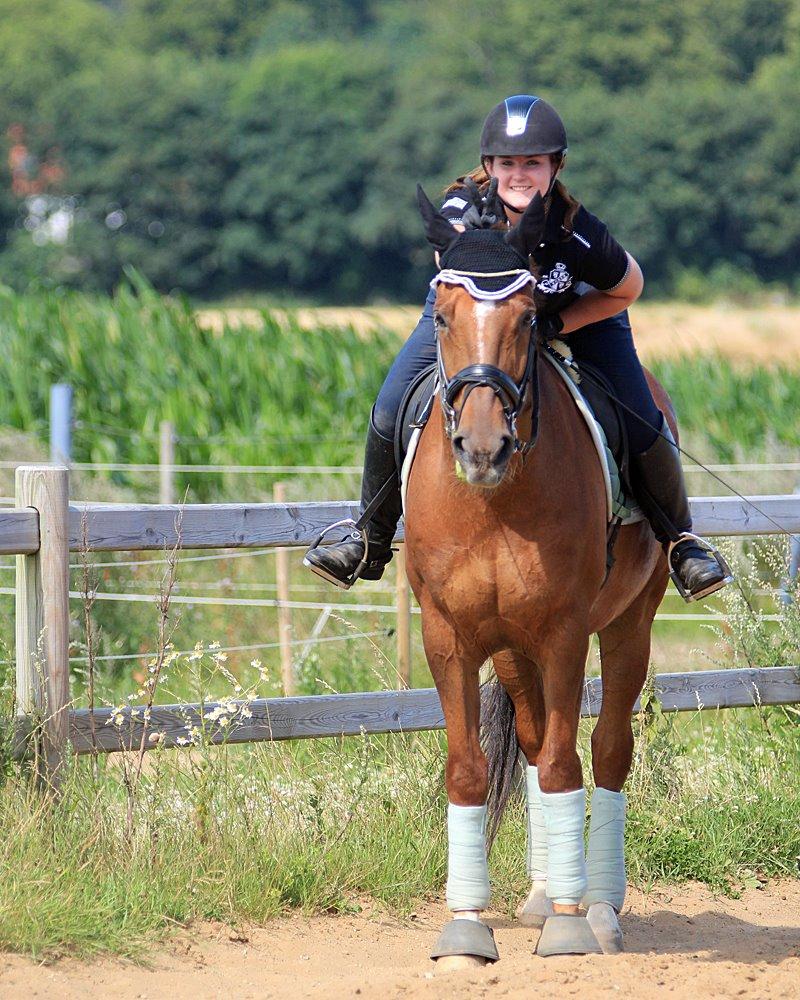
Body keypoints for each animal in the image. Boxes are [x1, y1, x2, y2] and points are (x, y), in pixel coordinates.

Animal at [404, 188, 672, 968]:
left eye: (528, 318)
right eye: (441, 315)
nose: (482, 447)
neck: (496, 502)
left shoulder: (563, 633)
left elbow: (564, 766)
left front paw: (570, 926)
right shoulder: (452, 635)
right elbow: (470, 768)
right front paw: (467, 928)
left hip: (629, 625)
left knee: (608, 751)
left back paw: (599, 907)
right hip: (510, 647)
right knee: (527, 735)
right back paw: (542, 891)